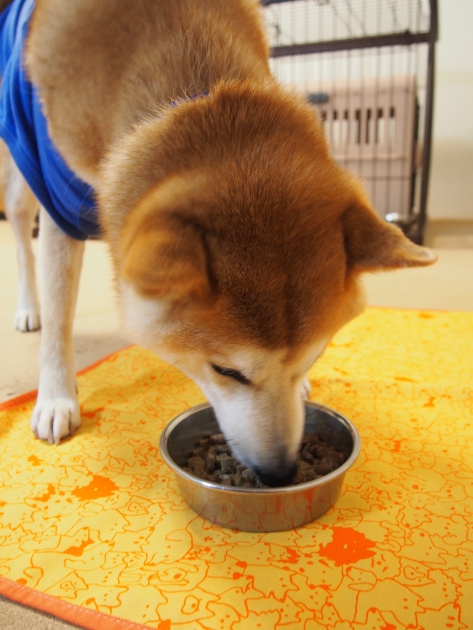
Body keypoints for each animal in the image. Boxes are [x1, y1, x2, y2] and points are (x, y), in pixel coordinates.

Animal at [0, 0, 436, 486]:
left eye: (315, 353)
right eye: (225, 370)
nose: (279, 474)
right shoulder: (58, 196)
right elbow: (60, 314)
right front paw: (56, 397)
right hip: (21, 173)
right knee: (22, 244)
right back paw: (28, 310)